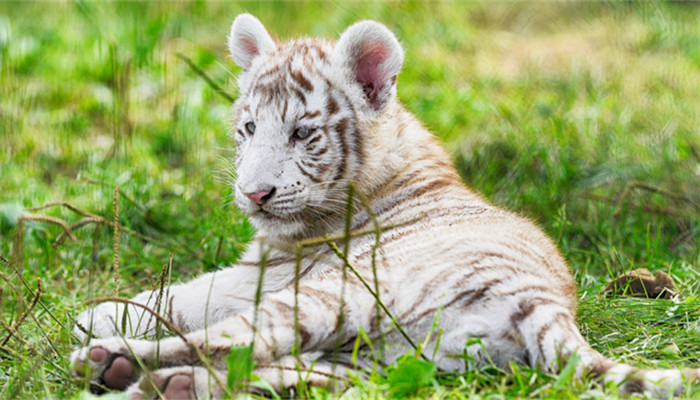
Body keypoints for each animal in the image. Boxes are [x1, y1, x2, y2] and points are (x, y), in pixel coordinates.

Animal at [70, 14, 700, 399]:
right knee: (286, 372)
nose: (254, 194)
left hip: (337, 294)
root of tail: (543, 300)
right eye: (249, 129)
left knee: (235, 341)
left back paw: (111, 358)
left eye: (302, 134)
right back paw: (155, 381)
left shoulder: (269, 270)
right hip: (385, 357)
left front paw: (98, 313)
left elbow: (192, 293)